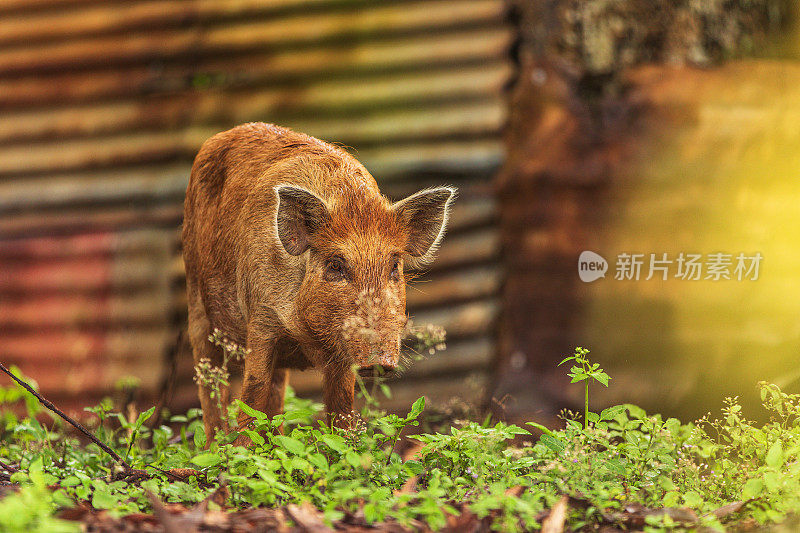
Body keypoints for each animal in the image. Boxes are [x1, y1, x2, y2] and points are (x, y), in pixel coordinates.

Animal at [183, 122, 456, 438]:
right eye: (335, 265)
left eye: (395, 265)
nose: (379, 361)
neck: (306, 336)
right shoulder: (261, 318)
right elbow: (252, 396)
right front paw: (241, 447)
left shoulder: (342, 357)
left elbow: (341, 411)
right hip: (195, 298)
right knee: (210, 384)